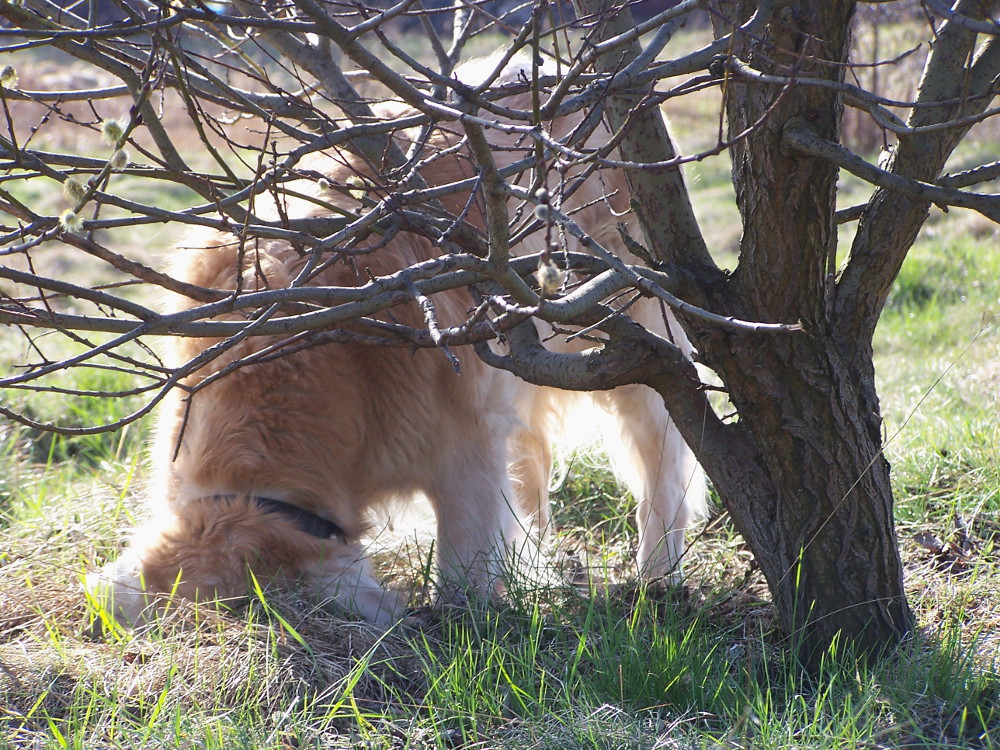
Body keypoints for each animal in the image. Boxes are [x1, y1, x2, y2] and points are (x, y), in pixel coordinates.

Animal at [90, 55, 708, 624]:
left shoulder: (464, 440)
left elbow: (465, 552)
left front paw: (462, 620)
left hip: (631, 336)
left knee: (664, 454)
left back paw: (659, 572)